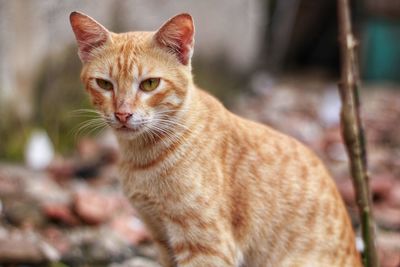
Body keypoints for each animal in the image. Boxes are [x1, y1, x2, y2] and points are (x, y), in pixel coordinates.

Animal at [69, 11, 362, 266]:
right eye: (104, 84)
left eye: (150, 84)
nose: (122, 114)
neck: (141, 158)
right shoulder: (161, 238)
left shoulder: (206, 247)